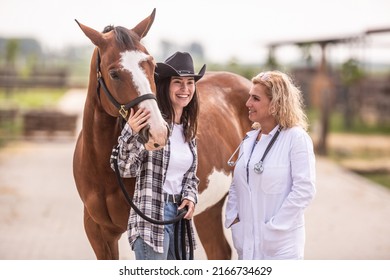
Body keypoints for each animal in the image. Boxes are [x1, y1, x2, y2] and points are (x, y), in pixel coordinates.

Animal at [72, 9, 251, 260]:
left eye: (151, 66)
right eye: (114, 74)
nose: (157, 131)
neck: (104, 168)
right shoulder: (98, 232)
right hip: (208, 208)